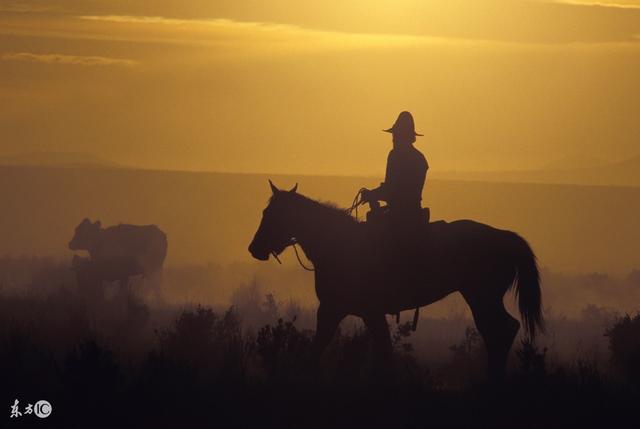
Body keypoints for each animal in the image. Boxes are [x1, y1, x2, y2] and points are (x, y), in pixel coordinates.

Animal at [248, 180, 544, 378]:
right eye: (264, 213)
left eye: (271, 214)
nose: (254, 249)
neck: (338, 245)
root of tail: (506, 237)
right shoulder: (347, 310)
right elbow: (373, 348)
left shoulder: (347, 309)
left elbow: (334, 346)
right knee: (498, 330)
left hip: (482, 297)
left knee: (500, 330)